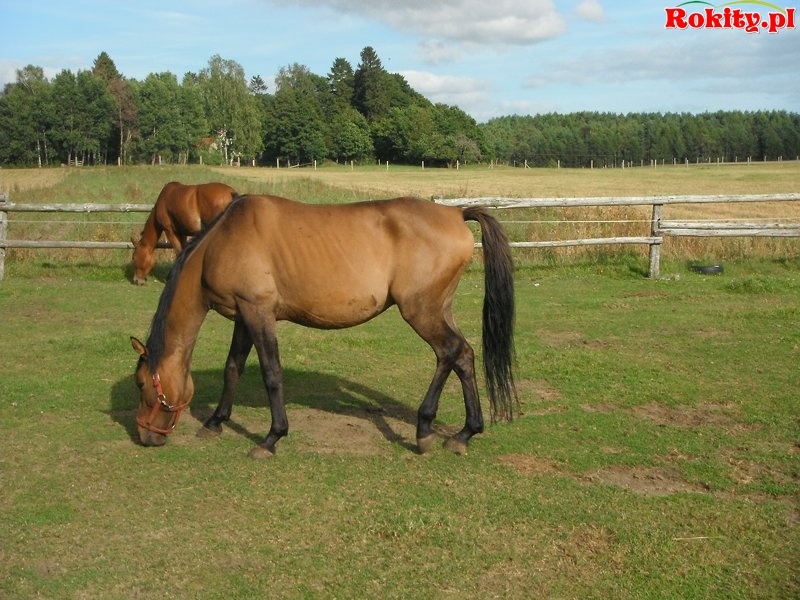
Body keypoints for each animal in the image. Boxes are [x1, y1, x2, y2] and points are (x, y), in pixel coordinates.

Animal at [130, 195, 517, 458]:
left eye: (142, 384)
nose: (145, 437)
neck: (220, 243)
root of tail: (455, 213)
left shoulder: (258, 313)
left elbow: (271, 373)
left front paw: (272, 438)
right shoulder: (244, 316)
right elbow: (233, 368)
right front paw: (215, 422)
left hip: (422, 311)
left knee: (450, 352)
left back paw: (426, 429)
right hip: (439, 309)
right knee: (462, 356)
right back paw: (464, 433)